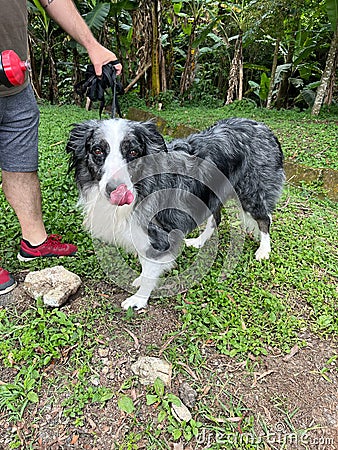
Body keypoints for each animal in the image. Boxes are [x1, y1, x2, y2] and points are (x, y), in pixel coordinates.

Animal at [66, 118, 286, 312]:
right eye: (97, 150)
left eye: (133, 152)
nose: (115, 190)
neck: (142, 185)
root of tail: (264, 129)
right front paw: (140, 279)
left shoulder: (159, 234)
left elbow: (151, 267)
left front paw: (139, 299)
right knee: (217, 218)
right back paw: (199, 241)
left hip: (251, 192)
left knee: (265, 219)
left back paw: (264, 250)